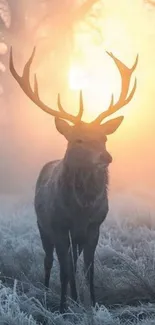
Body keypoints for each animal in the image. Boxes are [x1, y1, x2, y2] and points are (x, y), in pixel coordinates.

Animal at [9, 47, 138, 312]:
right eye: (78, 139)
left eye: (104, 138)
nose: (106, 157)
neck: (81, 209)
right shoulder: (59, 225)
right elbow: (64, 269)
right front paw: (62, 308)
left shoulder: (94, 226)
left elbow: (87, 269)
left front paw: (92, 305)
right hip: (42, 224)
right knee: (50, 260)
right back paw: (47, 293)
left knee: (73, 263)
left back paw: (75, 297)